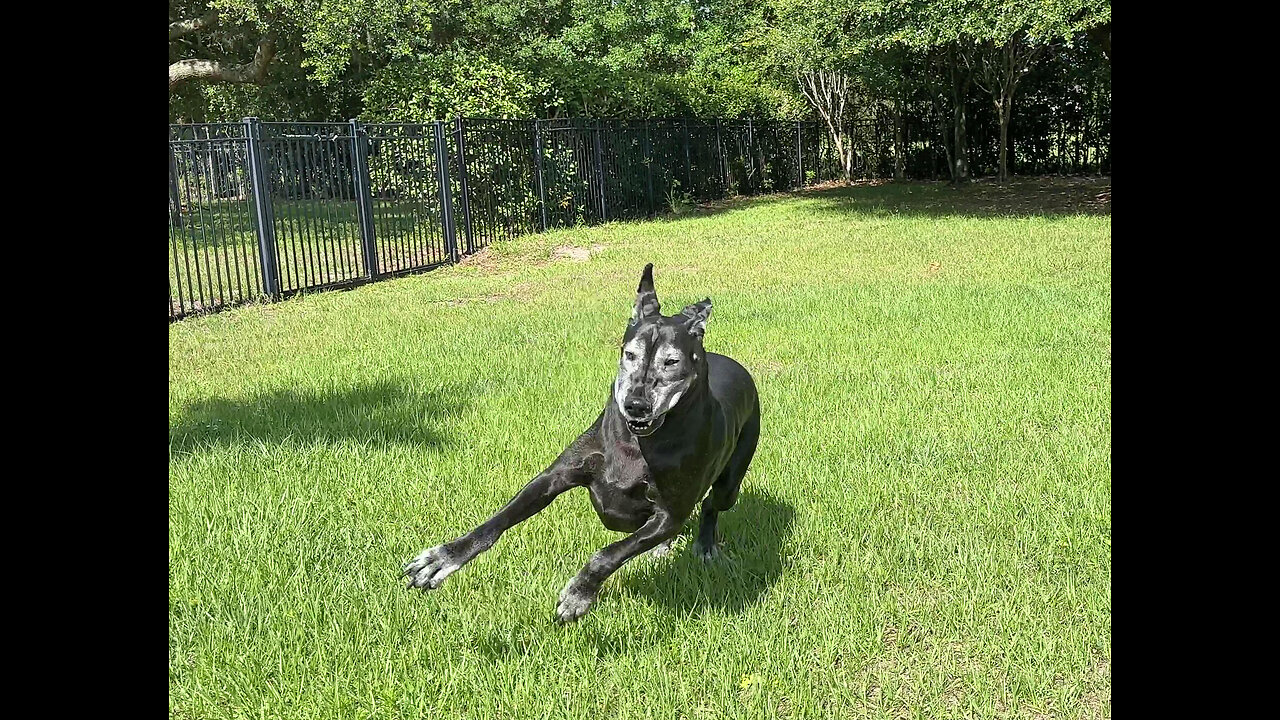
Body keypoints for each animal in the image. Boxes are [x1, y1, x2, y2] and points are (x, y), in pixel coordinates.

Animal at [404, 263, 752, 622]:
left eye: (672, 362)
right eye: (629, 354)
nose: (636, 405)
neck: (637, 445)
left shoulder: (669, 514)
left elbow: (609, 554)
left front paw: (578, 594)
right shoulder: (555, 477)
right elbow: (498, 520)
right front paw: (444, 557)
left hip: (732, 477)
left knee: (712, 504)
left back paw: (706, 545)